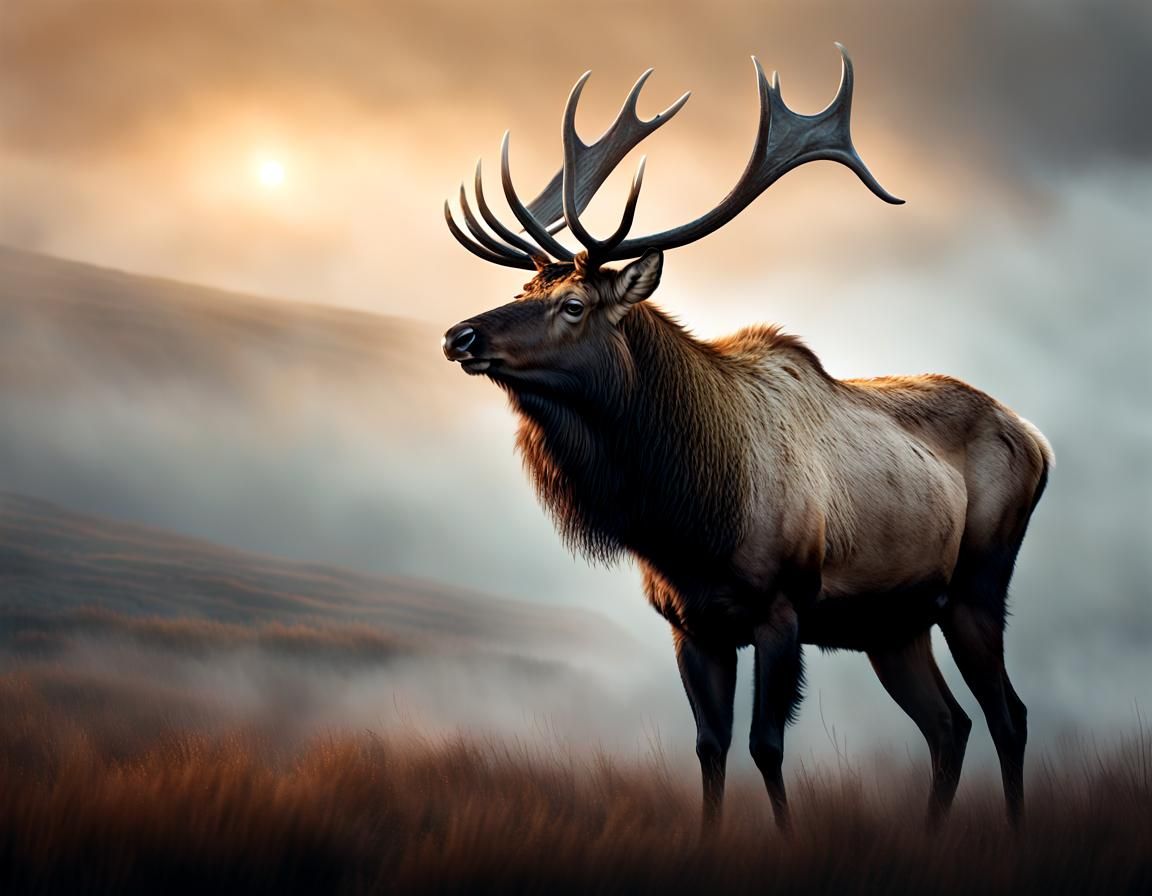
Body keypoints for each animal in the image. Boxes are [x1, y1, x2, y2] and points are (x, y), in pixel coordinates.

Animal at [440, 46, 1052, 832]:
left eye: (572, 304)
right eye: (522, 294)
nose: (461, 335)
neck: (689, 519)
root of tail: (1036, 439)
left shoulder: (780, 608)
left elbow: (766, 746)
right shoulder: (691, 625)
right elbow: (710, 747)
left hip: (978, 584)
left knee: (1009, 715)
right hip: (893, 622)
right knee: (950, 725)